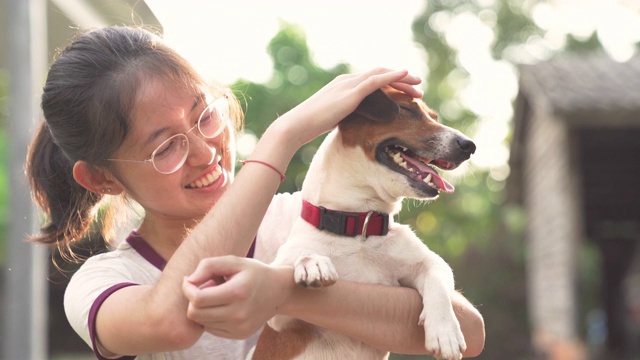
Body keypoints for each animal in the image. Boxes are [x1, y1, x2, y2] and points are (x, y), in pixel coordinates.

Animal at [254, 87, 476, 360]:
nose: (469, 145)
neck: (358, 225)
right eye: (407, 109)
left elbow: (438, 282)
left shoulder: (428, 264)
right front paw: (312, 263)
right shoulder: (275, 315)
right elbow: (302, 256)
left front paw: (445, 332)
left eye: (433, 116)